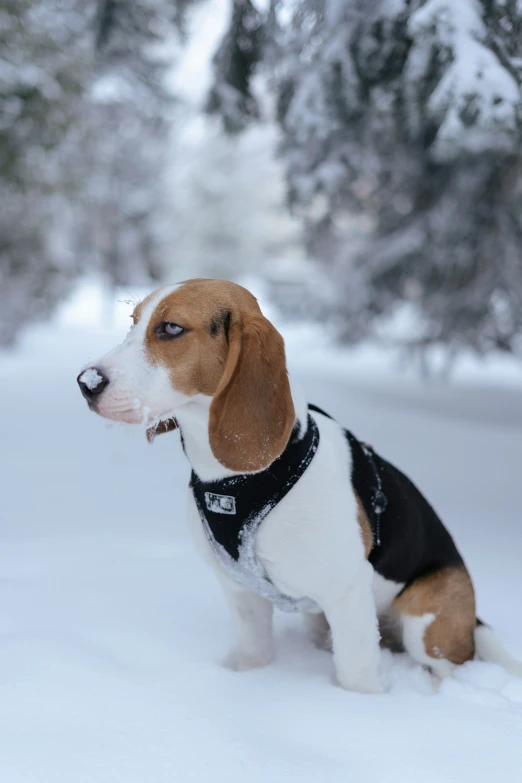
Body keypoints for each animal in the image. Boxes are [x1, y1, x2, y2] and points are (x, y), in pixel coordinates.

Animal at [78, 278, 520, 696]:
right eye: (133, 322)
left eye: (171, 328)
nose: (86, 382)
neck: (234, 480)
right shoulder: (242, 594)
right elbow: (255, 657)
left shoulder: (346, 593)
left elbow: (356, 676)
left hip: (425, 620)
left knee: (450, 668)